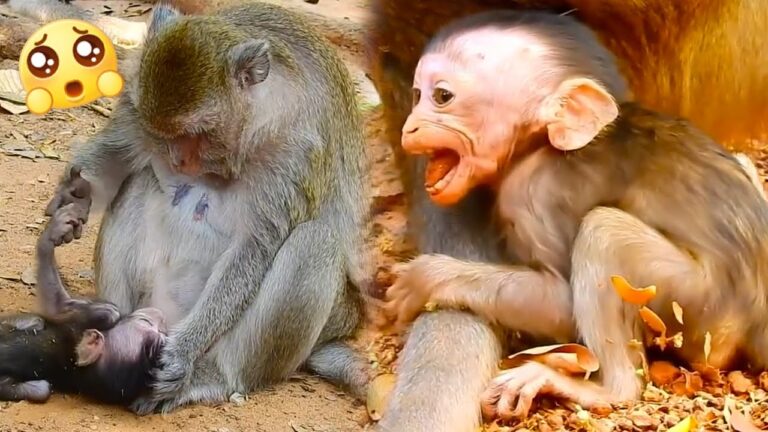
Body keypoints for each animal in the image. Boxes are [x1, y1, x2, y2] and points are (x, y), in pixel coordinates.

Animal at [42, 1, 372, 415]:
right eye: (161, 133)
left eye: (197, 134)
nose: (178, 159)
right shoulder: (136, 96)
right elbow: (118, 156)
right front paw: (74, 199)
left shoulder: (294, 152)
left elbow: (253, 249)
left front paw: (183, 352)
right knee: (138, 181)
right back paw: (106, 327)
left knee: (315, 238)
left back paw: (213, 376)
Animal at [366, 2, 768, 431]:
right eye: (417, 95)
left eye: (442, 96)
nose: (411, 127)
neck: (538, 144)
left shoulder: (529, 195)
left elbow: (561, 304)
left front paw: (425, 278)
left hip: (705, 313)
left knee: (603, 232)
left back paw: (601, 388)